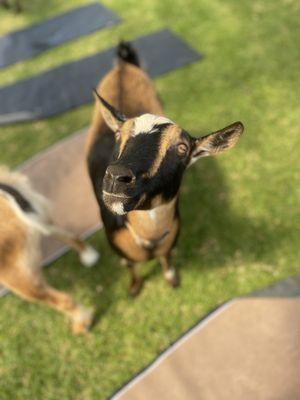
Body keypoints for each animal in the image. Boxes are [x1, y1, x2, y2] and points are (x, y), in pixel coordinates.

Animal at [0, 166, 99, 334]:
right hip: (42, 218)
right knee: (70, 236)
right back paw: (89, 255)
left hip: (19, 280)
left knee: (63, 301)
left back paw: (82, 322)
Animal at [85, 42, 244, 296]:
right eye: (118, 135)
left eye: (182, 148)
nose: (116, 176)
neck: (148, 239)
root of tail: (123, 65)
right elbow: (131, 267)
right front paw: (134, 288)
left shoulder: (170, 241)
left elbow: (167, 259)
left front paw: (172, 280)